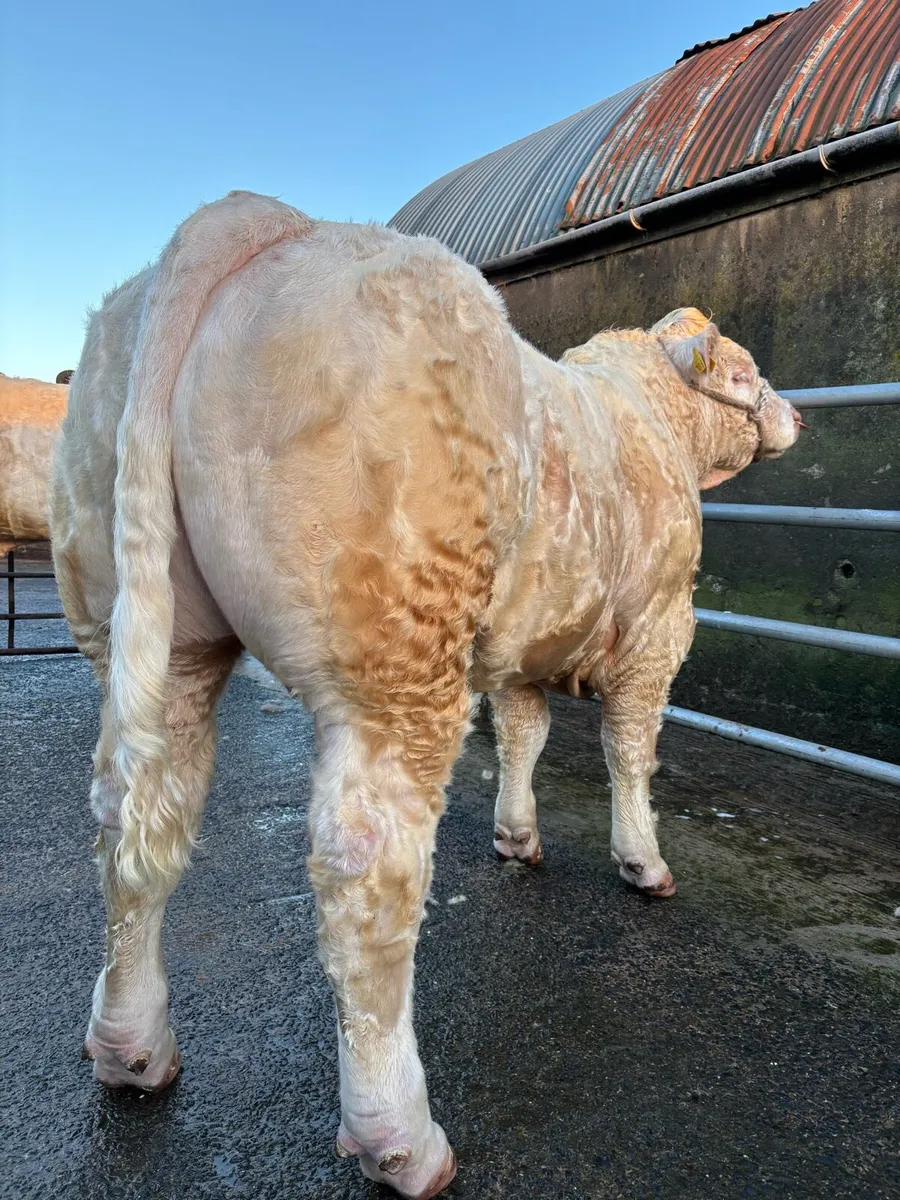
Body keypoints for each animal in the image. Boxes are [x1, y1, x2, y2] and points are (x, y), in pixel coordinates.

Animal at [50, 192, 801, 1199]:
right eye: (748, 370)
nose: (793, 414)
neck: (647, 421)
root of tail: (260, 219)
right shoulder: (657, 630)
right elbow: (629, 751)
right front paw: (642, 861)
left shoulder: (525, 642)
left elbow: (523, 733)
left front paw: (518, 836)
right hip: (399, 652)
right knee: (367, 868)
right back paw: (400, 1137)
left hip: (151, 633)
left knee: (135, 824)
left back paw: (130, 1046)